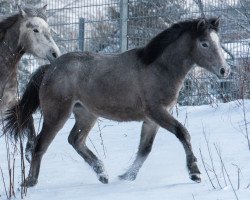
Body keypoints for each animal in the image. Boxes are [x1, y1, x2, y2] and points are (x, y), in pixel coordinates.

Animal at [0, 4, 60, 160]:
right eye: (35, 29)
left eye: (49, 30)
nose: (55, 54)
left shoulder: (9, 103)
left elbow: (28, 118)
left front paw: (29, 150)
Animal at [4, 17, 230, 188]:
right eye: (204, 43)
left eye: (218, 41)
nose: (224, 70)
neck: (158, 68)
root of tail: (50, 68)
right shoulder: (157, 112)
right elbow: (183, 133)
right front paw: (195, 173)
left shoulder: (152, 119)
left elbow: (145, 148)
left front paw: (127, 176)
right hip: (57, 114)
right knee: (40, 144)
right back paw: (30, 182)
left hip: (86, 114)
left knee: (75, 140)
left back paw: (102, 174)